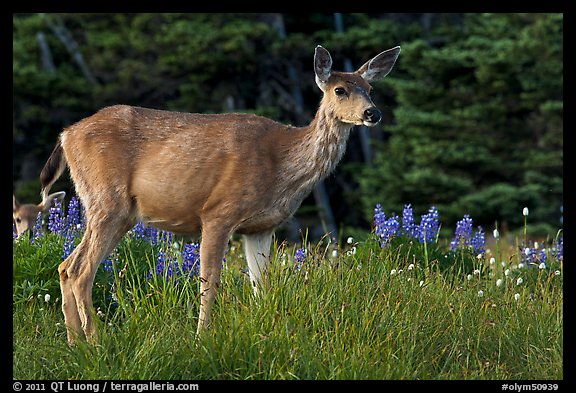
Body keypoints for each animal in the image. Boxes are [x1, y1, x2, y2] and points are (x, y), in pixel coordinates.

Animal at [40, 43, 400, 344]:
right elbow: (209, 281)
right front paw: (202, 338)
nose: (373, 113)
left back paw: (75, 343)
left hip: (116, 211)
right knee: (80, 270)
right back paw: (95, 342)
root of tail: (65, 135)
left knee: (65, 266)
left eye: (370, 89)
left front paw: (264, 330)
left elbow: (261, 285)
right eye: (340, 90)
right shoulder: (217, 212)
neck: (282, 166)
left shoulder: (261, 228)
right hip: (107, 200)